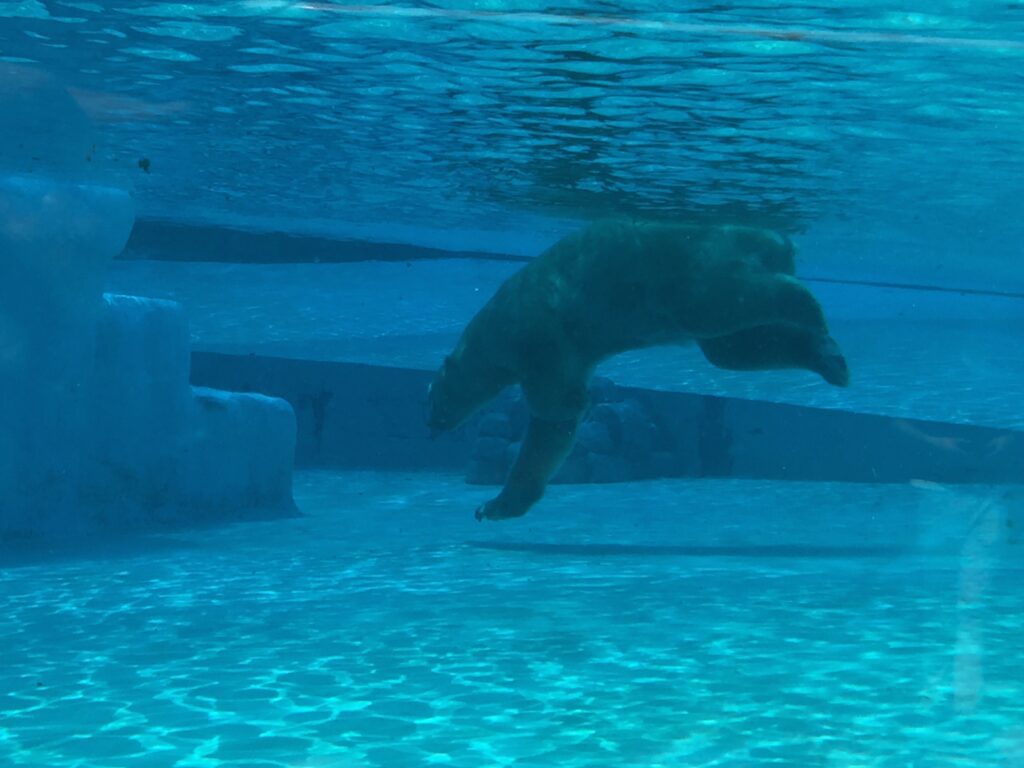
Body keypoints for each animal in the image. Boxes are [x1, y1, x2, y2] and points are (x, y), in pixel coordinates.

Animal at [427, 220, 849, 521]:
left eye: (432, 395)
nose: (432, 424)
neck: (491, 331)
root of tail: (771, 240)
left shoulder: (536, 339)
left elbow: (556, 412)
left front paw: (493, 505)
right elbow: (563, 417)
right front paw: (495, 506)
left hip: (683, 274)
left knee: (732, 301)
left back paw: (810, 307)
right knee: (737, 345)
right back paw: (830, 359)